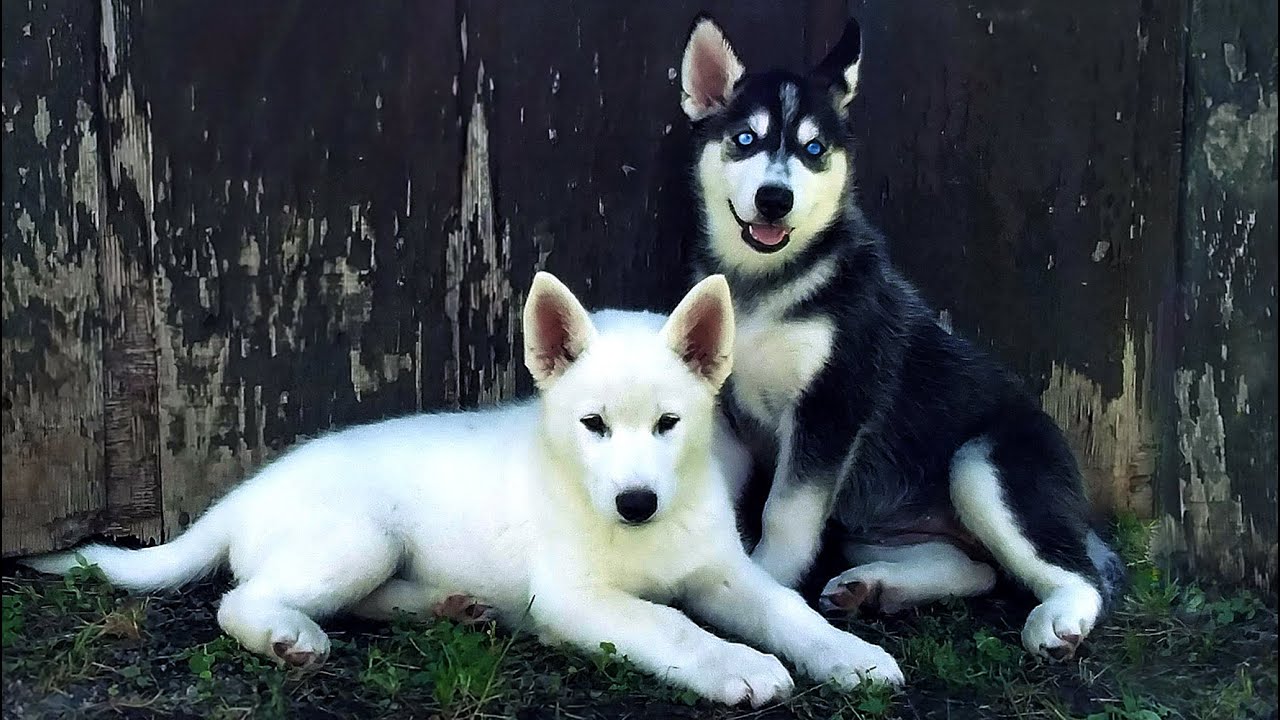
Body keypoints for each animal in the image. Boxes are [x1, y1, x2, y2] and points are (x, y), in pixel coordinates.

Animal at [20, 270, 901, 702]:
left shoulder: (723, 570)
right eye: (592, 425)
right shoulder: (576, 599)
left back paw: (449, 605)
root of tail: (242, 493)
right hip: (358, 537)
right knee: (240, 599)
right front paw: (734, 666)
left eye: (668, 424)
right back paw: (287, 636)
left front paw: (851, 655)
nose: (637, 504)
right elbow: (671, 626)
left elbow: (787, 608)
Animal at [675, 15, 1126, 655]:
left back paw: (1060, 617)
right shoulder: (727, 409)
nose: (775, 198)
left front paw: (766, 583)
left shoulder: (834, 404)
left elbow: (784, 513)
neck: (765, 285)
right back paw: (872, 587)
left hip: (981, 464)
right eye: (744, 139)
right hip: (871, 519)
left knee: (1079, 573)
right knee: (978, 569)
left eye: (814, 150)